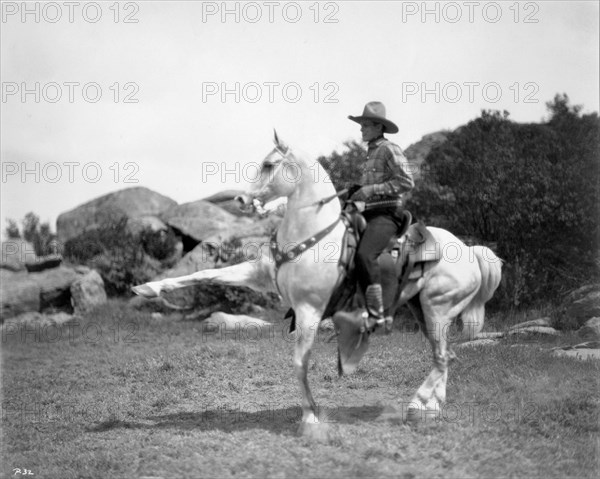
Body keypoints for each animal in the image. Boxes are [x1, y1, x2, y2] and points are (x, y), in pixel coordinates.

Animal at [134, 133, 504, 440]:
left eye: (269, 164)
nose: (241, 199)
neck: (310, 234)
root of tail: (470, 250)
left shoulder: (309, 311)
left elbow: (300, 363)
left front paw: (310, 418)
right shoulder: (261, 274)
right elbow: (205, 275)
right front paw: (149, 287)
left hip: (437, 309)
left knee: (442, 357)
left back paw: (417, 404)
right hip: (423, 310)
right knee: (445, 356)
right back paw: (431, 406)